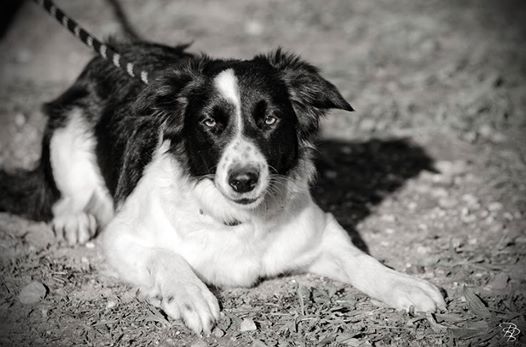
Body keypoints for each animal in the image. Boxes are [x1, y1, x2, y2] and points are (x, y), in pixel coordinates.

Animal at [0, 40, 446, 334]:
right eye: (210, 122)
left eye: (270, 119)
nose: (243, 180)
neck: (239, 219)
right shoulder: (121, 237)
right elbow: (166, 256)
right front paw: (191, 295)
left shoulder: (323, 234)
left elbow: (361, 261)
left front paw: (405, 284)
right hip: (68, 129)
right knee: (68, 194)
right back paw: (74, 218)